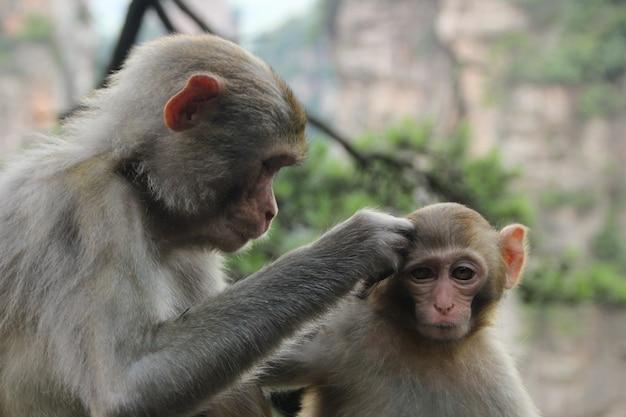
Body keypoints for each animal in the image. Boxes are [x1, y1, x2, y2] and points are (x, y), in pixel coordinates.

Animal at [0, 35, 414, 416]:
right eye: (268, 165)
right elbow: (128, 384)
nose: (271, 211)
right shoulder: (89, 206)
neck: (140, 185)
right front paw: (355, 243)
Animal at [260, 202, 540, 416]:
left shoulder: (500, 385)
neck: (432, 349)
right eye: (423, 274)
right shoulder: (342, 331)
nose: (443, 305)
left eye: (462, 273)